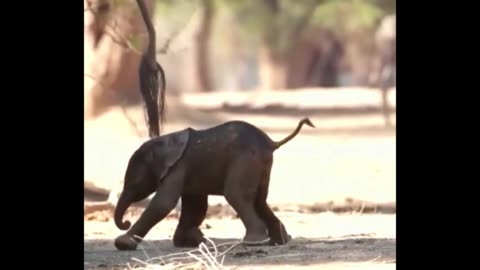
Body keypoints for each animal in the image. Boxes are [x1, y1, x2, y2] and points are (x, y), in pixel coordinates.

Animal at [113, 117, 316, 250]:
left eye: (133, 183)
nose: (125, 222)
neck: (163, 142)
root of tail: (271, 142)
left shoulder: (178, 167)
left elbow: (163, 203)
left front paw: (123, 244)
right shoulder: (189, 170)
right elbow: (195, 204)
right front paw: (191, 242)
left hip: (245, 160)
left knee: (236, 196)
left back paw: (253, 243)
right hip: (261, 164)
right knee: (259, 200)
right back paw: (279, 241)